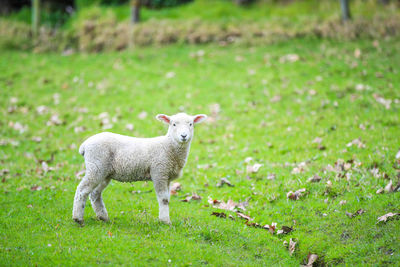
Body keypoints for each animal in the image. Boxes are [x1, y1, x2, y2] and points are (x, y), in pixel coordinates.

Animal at [72, 113, 208, 226]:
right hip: (96, 165)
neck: (169, 146)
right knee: (82, 190)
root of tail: (85, 145)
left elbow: (167, 199)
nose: (183, 136)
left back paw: (103, 217)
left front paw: (165, 219)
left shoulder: (167, 176)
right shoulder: (159, 172)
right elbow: (163, 199)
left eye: (191, 124)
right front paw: (165, 221)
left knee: (95, 193)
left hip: (104, 172)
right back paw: (78, 218)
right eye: (173, 124)